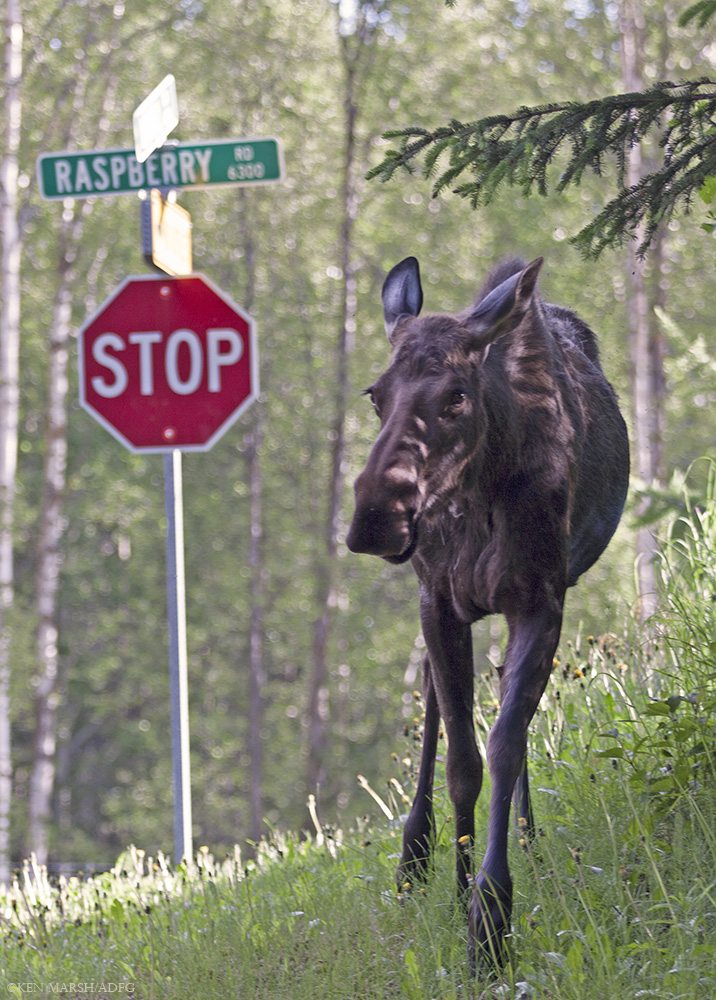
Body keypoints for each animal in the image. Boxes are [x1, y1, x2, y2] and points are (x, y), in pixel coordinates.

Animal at [346, 254, 628, 964]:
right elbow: (462, 761)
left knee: (507, 709)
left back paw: (526, 841)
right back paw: (413, 857)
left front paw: (492, 915)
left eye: (456, 395)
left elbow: (504, 743)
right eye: (375, 394)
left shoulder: (541, 599)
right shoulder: (441, 603)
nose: (375, 519)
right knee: (432, 702)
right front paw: (458, 893)